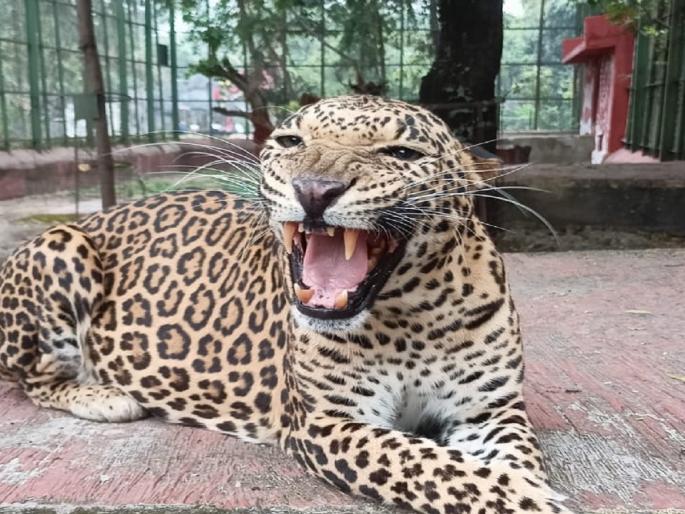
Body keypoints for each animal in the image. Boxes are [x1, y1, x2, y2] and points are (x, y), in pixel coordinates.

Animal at [0, 95, 572, 514]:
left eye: (401, 153)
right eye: (291, 142)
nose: (315, 189)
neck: (408, 314)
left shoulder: (489, 409)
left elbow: (509, 460)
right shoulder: (326, 421)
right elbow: (428, 463)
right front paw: (531, 499)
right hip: (62, 247)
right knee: (35, 379)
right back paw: (104, 395)